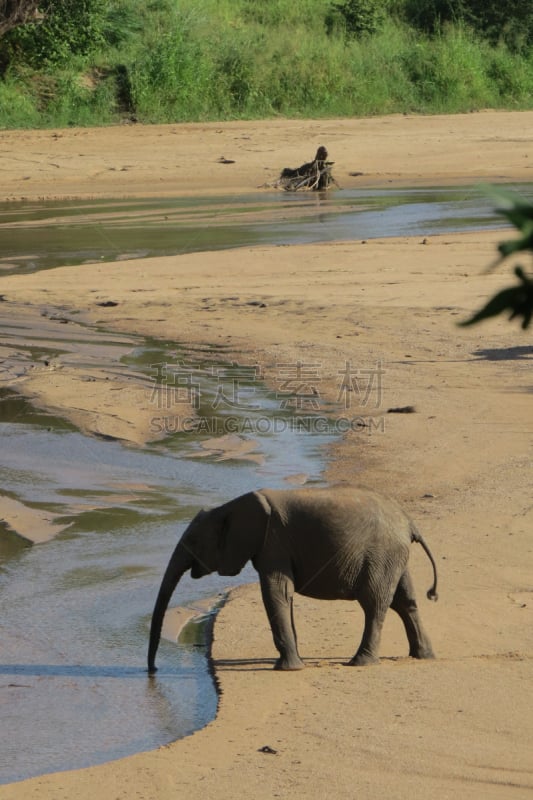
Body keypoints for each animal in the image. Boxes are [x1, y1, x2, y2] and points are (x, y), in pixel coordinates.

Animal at [148, 484, 438, 672]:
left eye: (193, 542)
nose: (152, 671)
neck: (230, 506)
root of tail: (410, 523)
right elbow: (283, 597)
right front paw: (295, 663)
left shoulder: (273, 542)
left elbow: (275, 593)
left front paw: (288, 668)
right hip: (393, 557)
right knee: (405, 601)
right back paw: (424, 656)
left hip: (380, 555)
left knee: (374, 604)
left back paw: (360, 663)